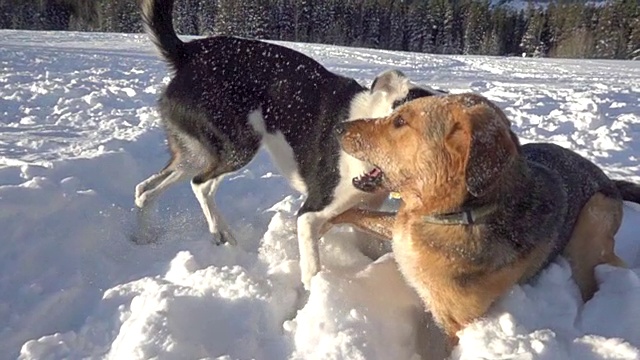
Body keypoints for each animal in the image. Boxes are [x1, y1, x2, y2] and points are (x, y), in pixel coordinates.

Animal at [330, 93, 640, 352]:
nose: (338, 128)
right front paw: (325, 220)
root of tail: (609, 179)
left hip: (591, 226)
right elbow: (358, 214)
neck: (461, 213)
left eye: (400, 121)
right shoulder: (397, 228)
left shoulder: (457, 324)